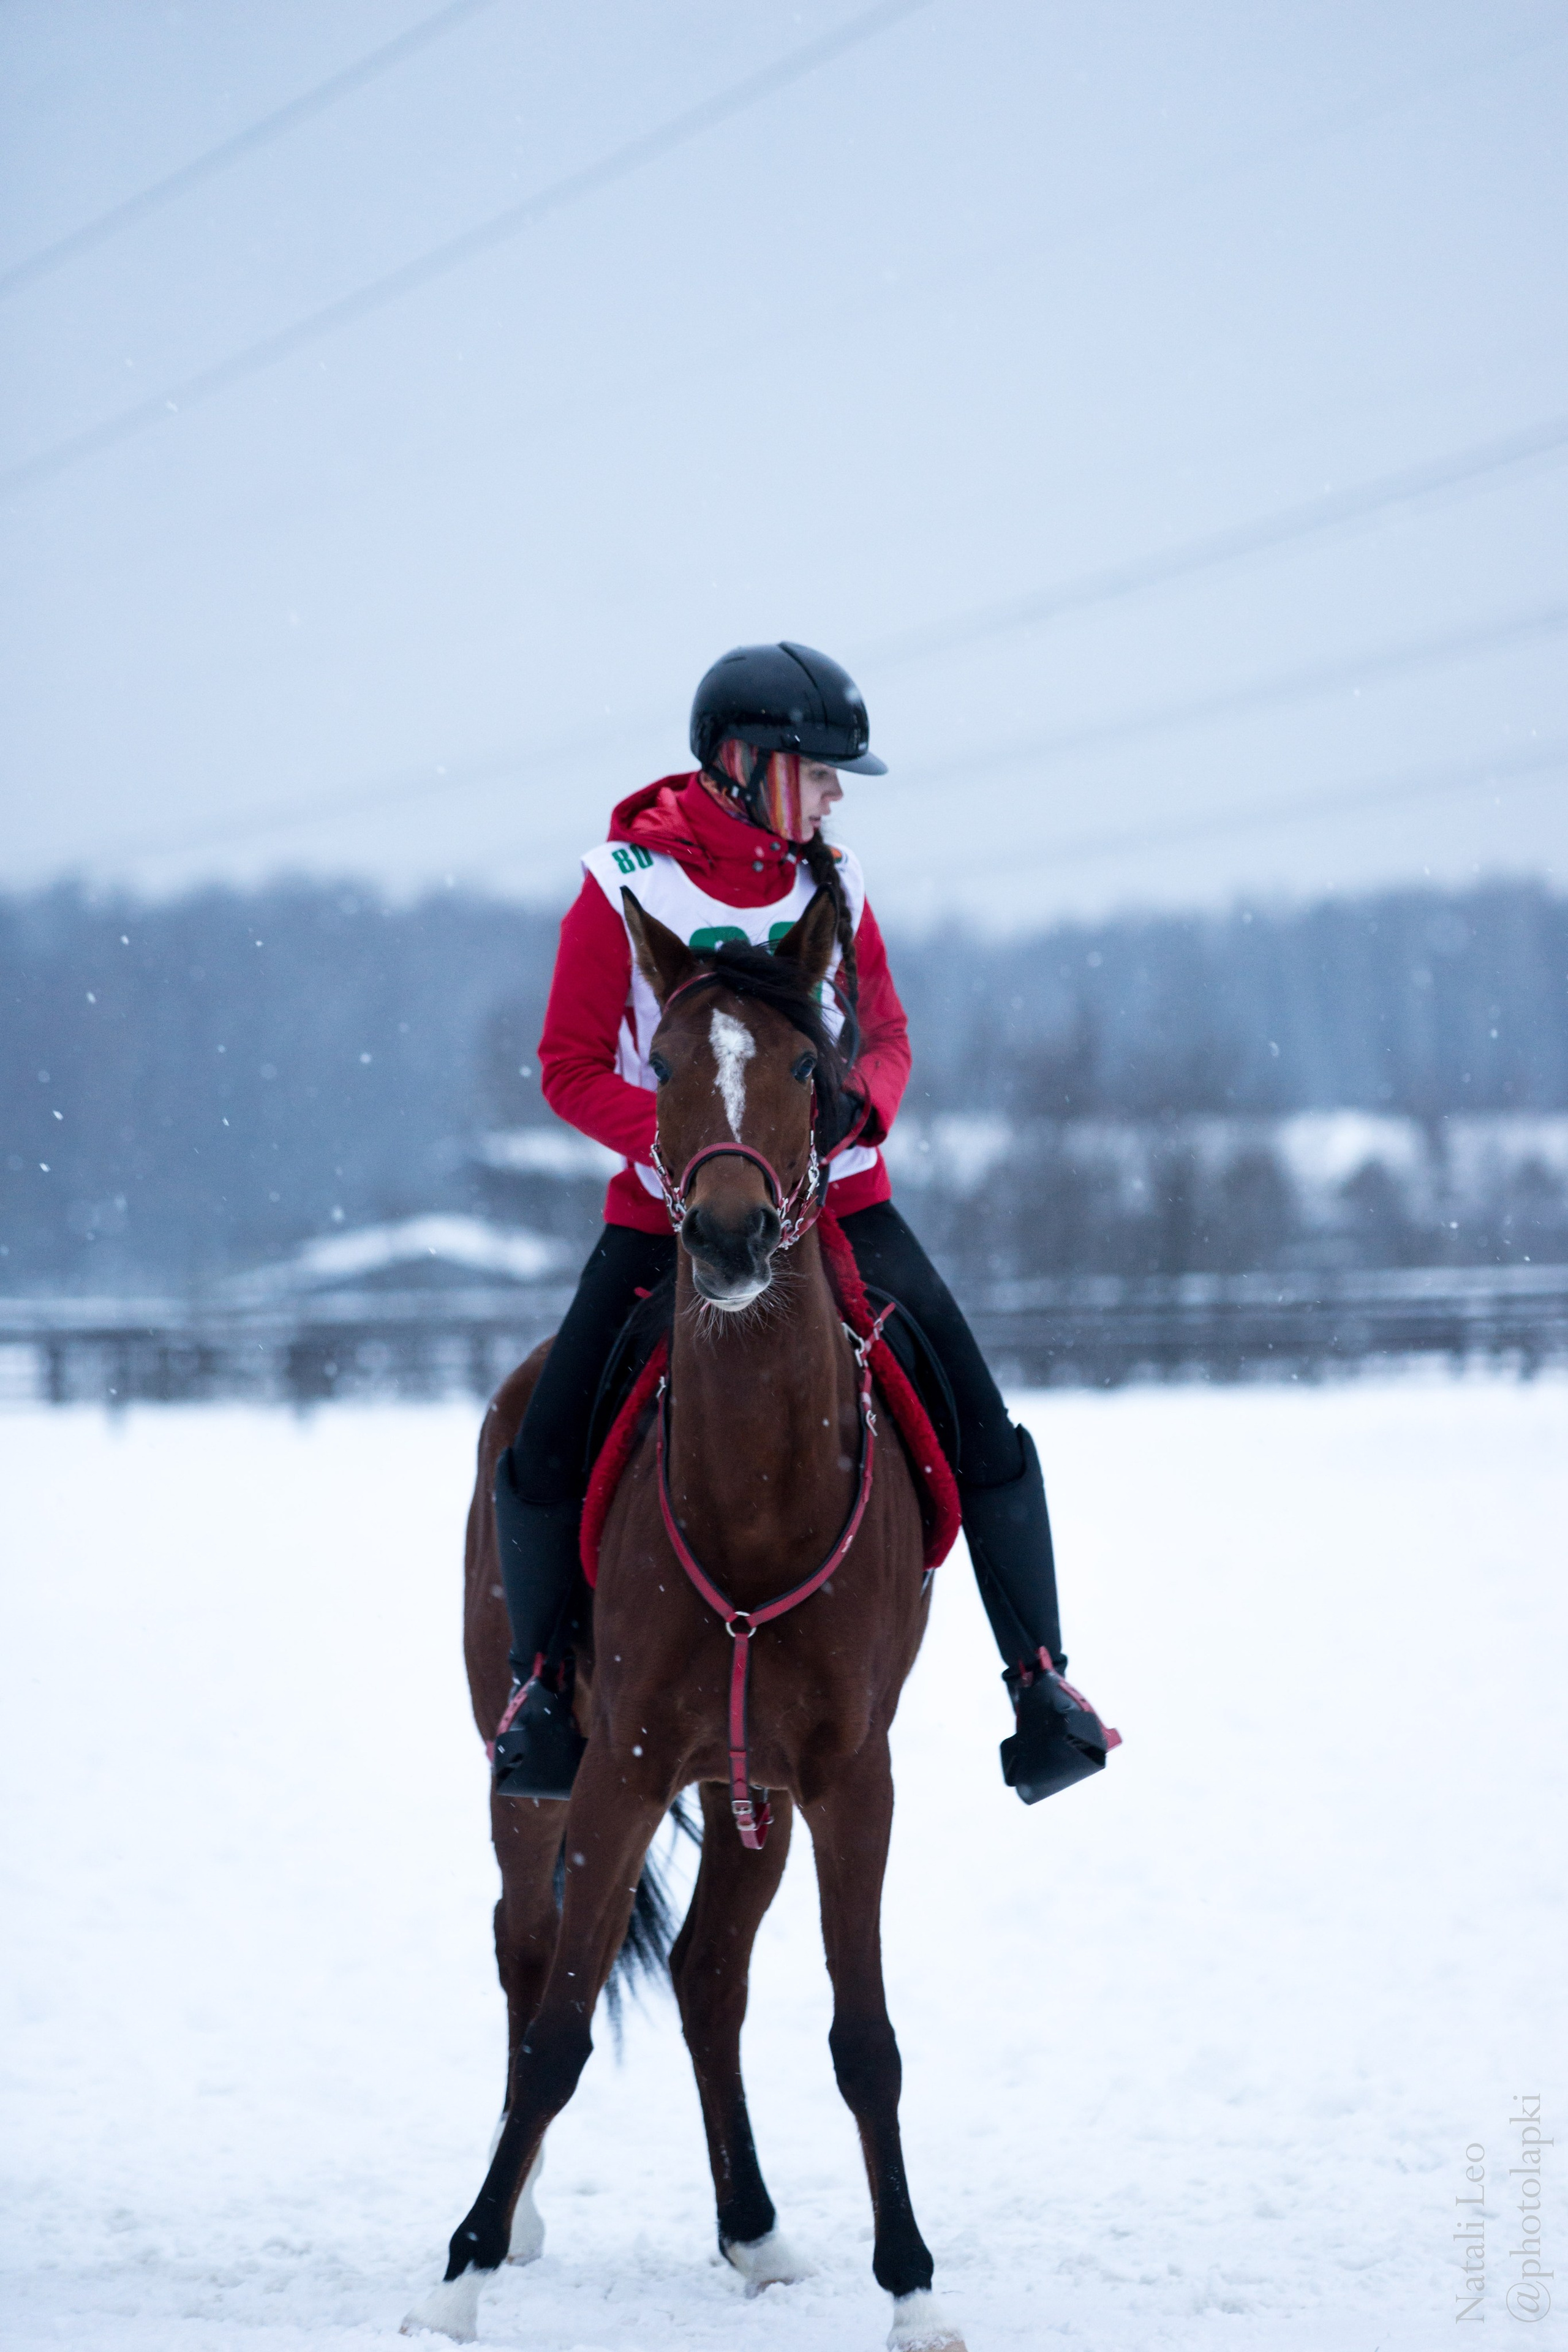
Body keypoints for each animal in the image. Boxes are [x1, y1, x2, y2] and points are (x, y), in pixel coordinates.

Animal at [403, 885, 965, 2351]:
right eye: (657, 1066)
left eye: (809, 1072)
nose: (721, 1236)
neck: (754, 1500)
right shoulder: (622, 1764)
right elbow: (557, 2026)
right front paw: (461, 2272)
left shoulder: (845, 1777)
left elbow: (864, 2041)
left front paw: (913, 2289)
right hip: (537, 1766)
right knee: (529, 1950)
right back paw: (526, 2214)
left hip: (746, 1783)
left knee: (711, 1972)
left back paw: (753, 2229)